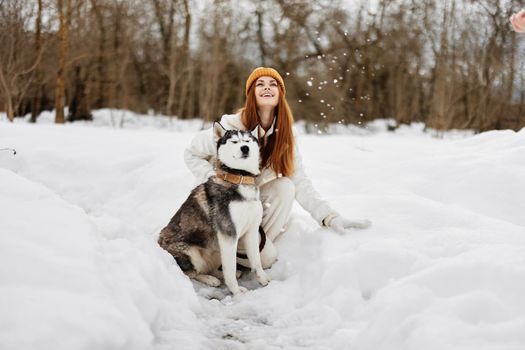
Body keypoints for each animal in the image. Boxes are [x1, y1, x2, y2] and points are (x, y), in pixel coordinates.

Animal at [158, 123, 268, 296]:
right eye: (234, 141)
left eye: (248, 141)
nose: (245, 148)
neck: (239, 178)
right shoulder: (229, 234)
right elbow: (230, 268)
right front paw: (236, 292)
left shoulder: (251, 231)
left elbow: (256, 262)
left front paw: (264, 280)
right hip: (192, 252)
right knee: (192, 273)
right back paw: (210, 279)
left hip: (216, 249)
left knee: (212, 267)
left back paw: (217, 275)